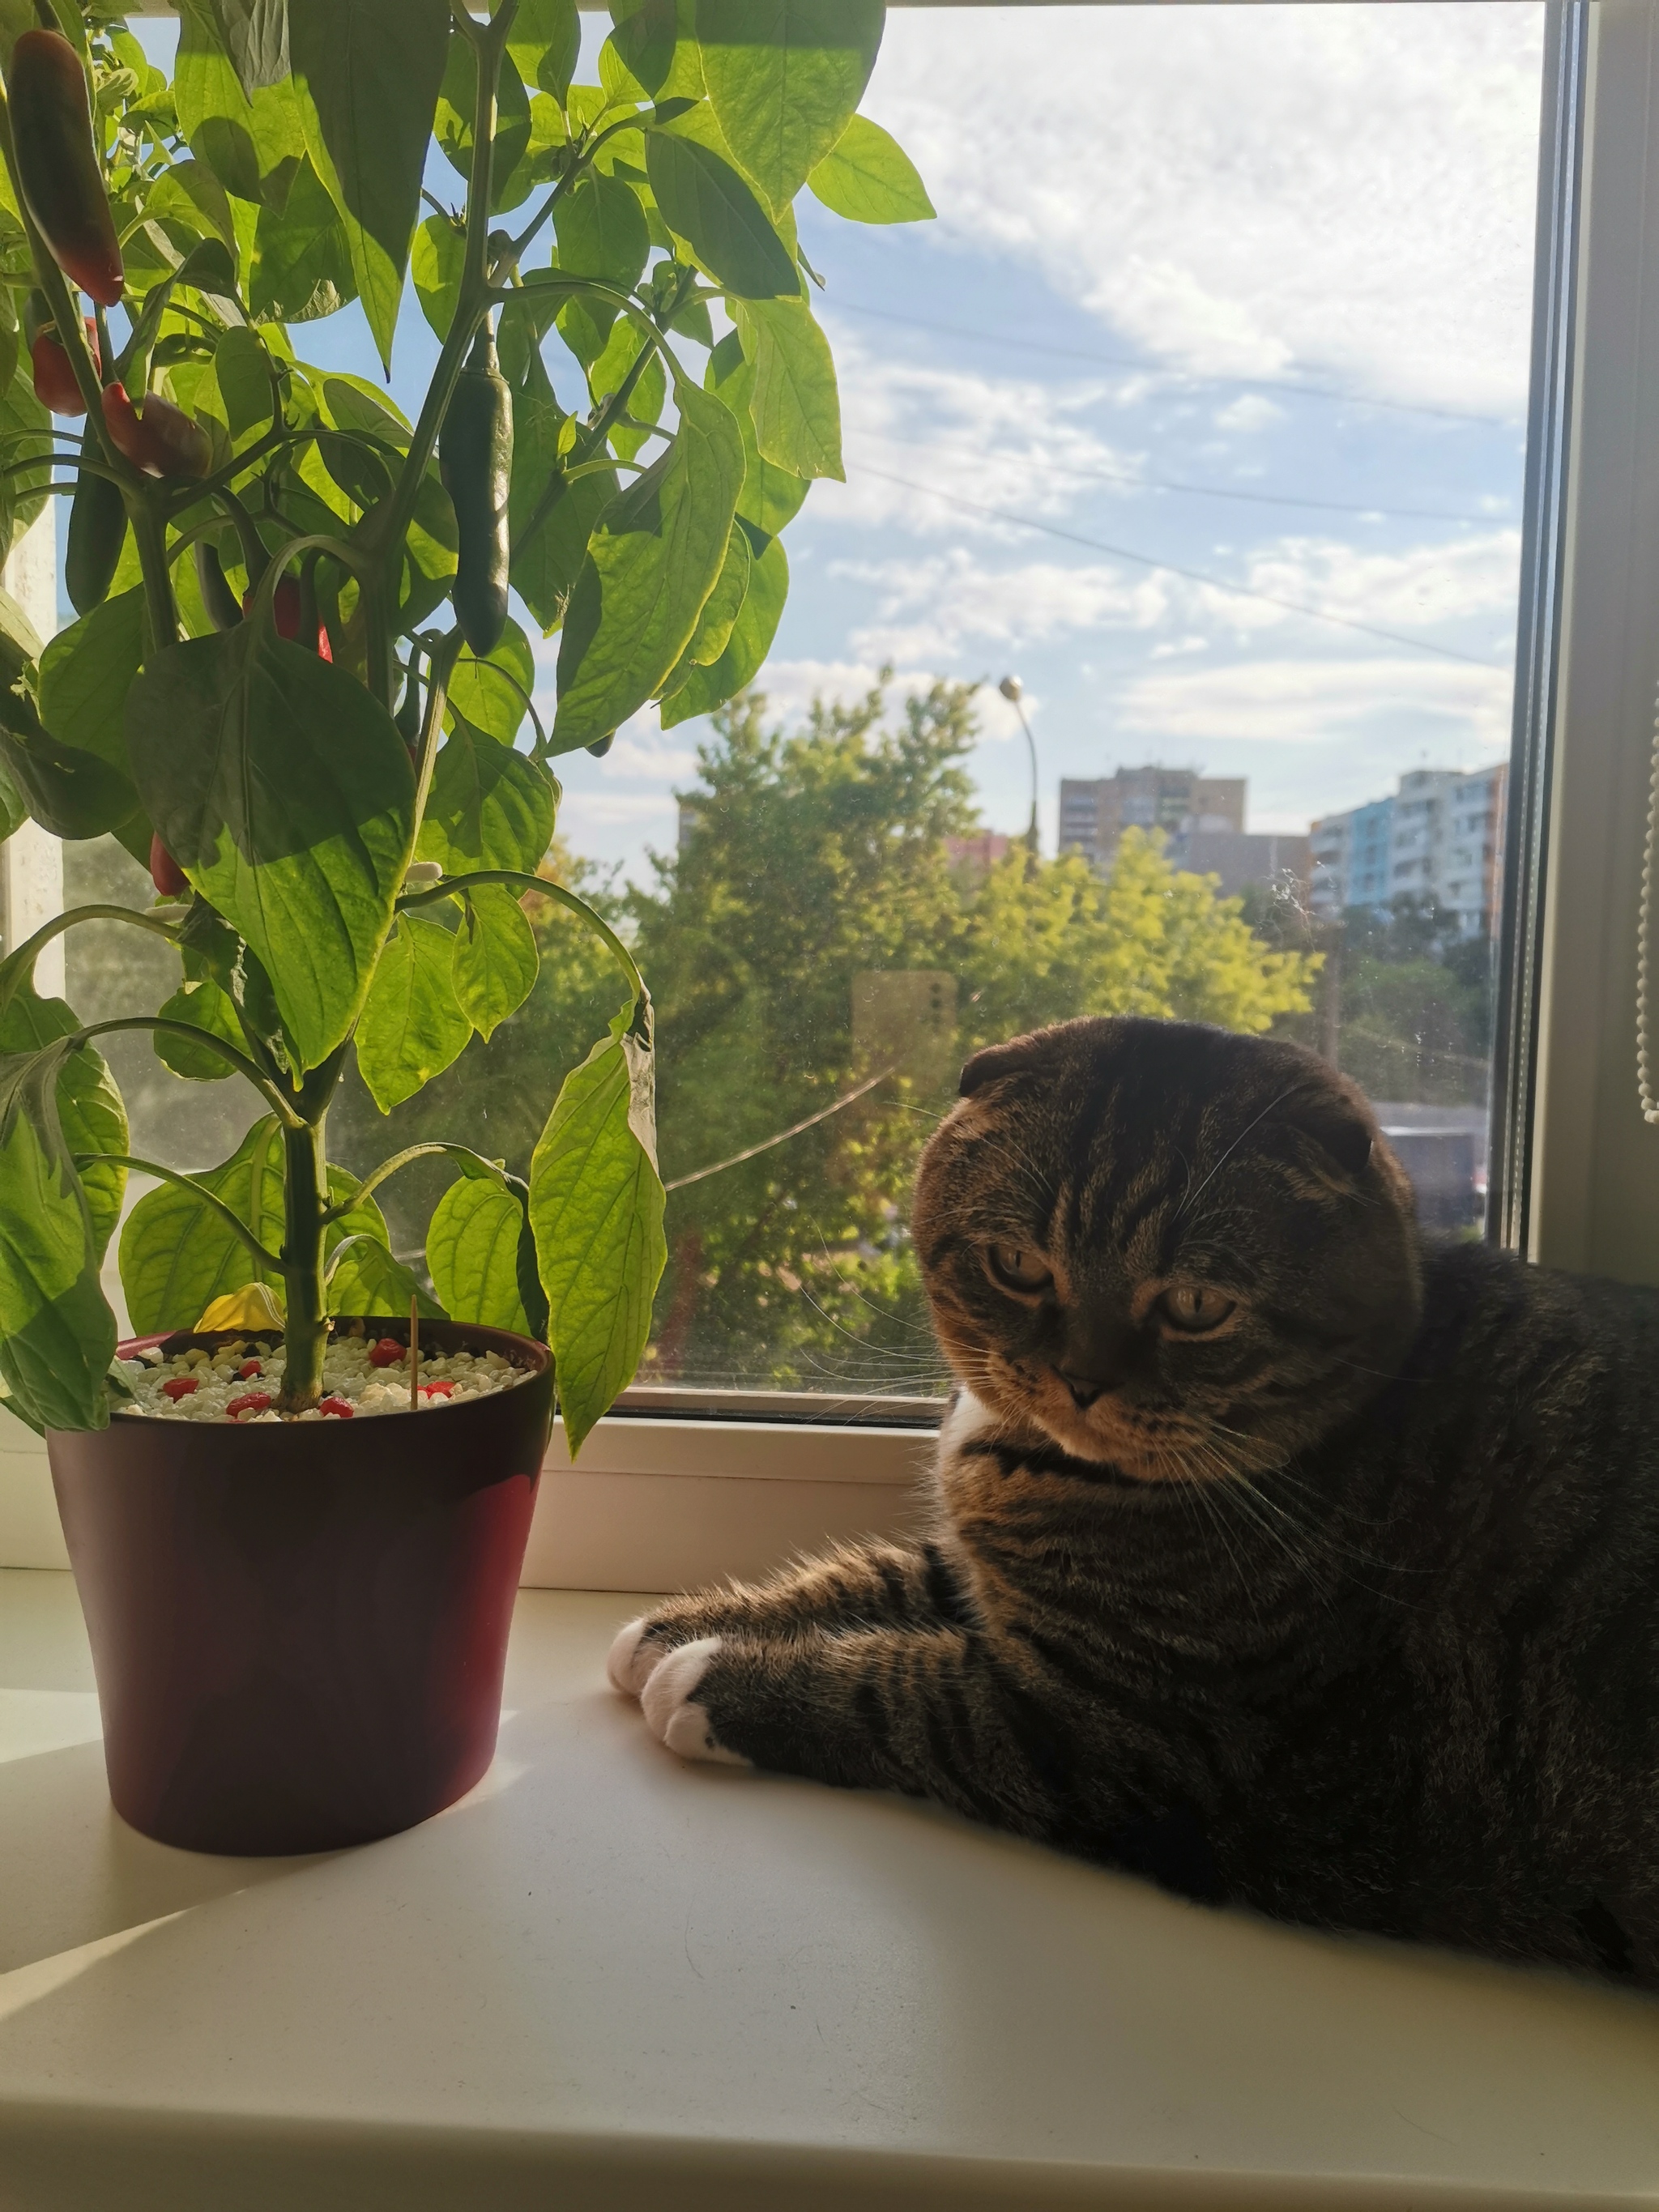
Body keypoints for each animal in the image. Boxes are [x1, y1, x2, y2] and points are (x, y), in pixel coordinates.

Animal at [610, 1012, 1659, 1981]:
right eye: (1017, 1265)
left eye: (1195, 1305)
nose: (1078, 1379)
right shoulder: (988, 1580)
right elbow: (879, 1571)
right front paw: (676, 1626)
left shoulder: (1124, 1730)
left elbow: (909, 1692)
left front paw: (713, 1679)